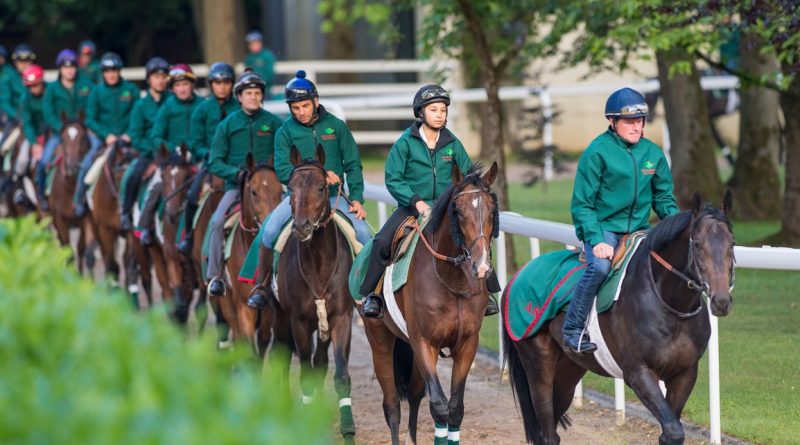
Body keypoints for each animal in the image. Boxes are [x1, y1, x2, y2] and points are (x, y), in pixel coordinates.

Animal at [217, 153, 282, 350]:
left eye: (280, 191)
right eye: (254, 192)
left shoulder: (267, 310)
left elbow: (263, 342)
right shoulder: (243, 308)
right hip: (227, 302)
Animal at [272, 146, 360, 444]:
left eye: (322, 187)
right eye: (292, 187)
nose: (302, 227)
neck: (319, 266)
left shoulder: (341, 318)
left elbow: (340, 375)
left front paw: (348, 431)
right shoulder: (298, 321)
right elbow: (305, 375)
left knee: (320, 362)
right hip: (280, 317)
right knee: (283, 354)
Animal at [364, 160, 500, 444]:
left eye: (492, 210)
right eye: (458, 211)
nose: (481, 265)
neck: (451, 282)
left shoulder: (468, 344)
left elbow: (455, 408)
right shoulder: (424, 343)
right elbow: (439, 405)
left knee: (415, 395)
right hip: (379, 340)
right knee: (391, 404)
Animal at [504, 192, 736, 444]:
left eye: (732, 243)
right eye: (699, 244)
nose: (721, 300)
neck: (670, 307)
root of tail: (517, 275)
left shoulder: (685, 373)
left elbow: (671, 430)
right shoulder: (638, 373)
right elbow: (673, 430)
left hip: (569, 368)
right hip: (538, 361)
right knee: (546, 430)